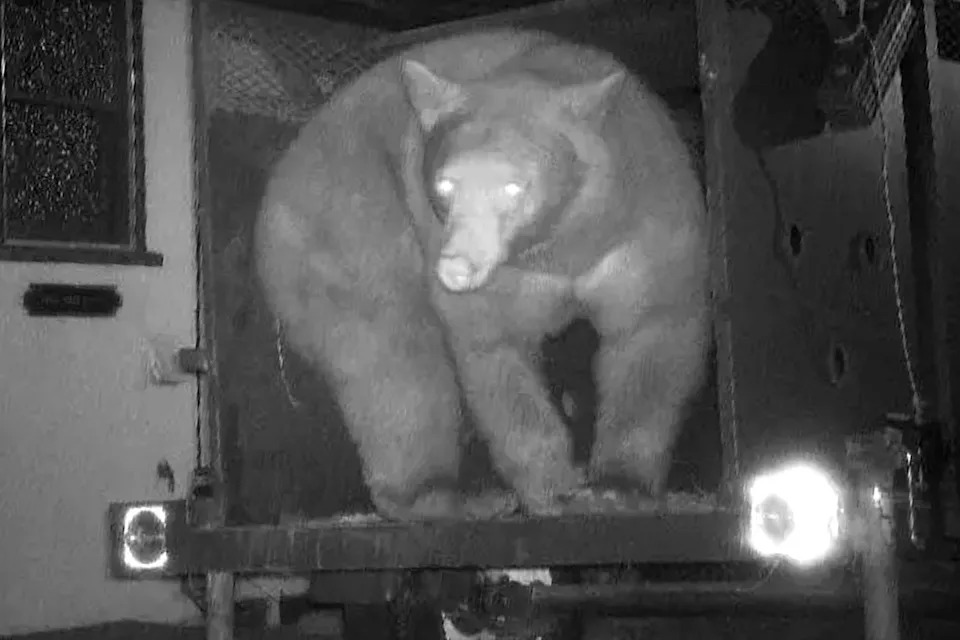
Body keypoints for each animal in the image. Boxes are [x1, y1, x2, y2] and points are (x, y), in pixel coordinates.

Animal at [255, 27, 711, 521]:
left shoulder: (643, 226)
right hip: (349, 218)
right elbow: (494, 353)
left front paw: (616, 488)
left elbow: (651, 334)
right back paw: (446, 497)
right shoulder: (496, 280)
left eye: (514, 186)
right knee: (394, 358)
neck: (556, 248)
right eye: (444, 185)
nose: (456, 266)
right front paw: (552, 490)